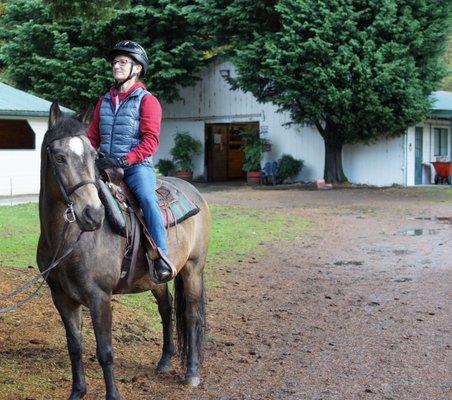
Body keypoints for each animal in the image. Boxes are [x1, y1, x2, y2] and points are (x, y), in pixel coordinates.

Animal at [36, 104, 210, 400]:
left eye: (93, 156)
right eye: (59, 157)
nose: (93, 214)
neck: (67, 241)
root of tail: (195, 192)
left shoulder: (99, 297)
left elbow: (105, 352)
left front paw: (113, 395)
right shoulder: (61, 298)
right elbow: (75, 347)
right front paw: (77, 392)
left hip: (193, 269)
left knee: (192, 316)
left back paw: (192, 373)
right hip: (156, 278)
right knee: (166, 309)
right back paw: (165, 361)